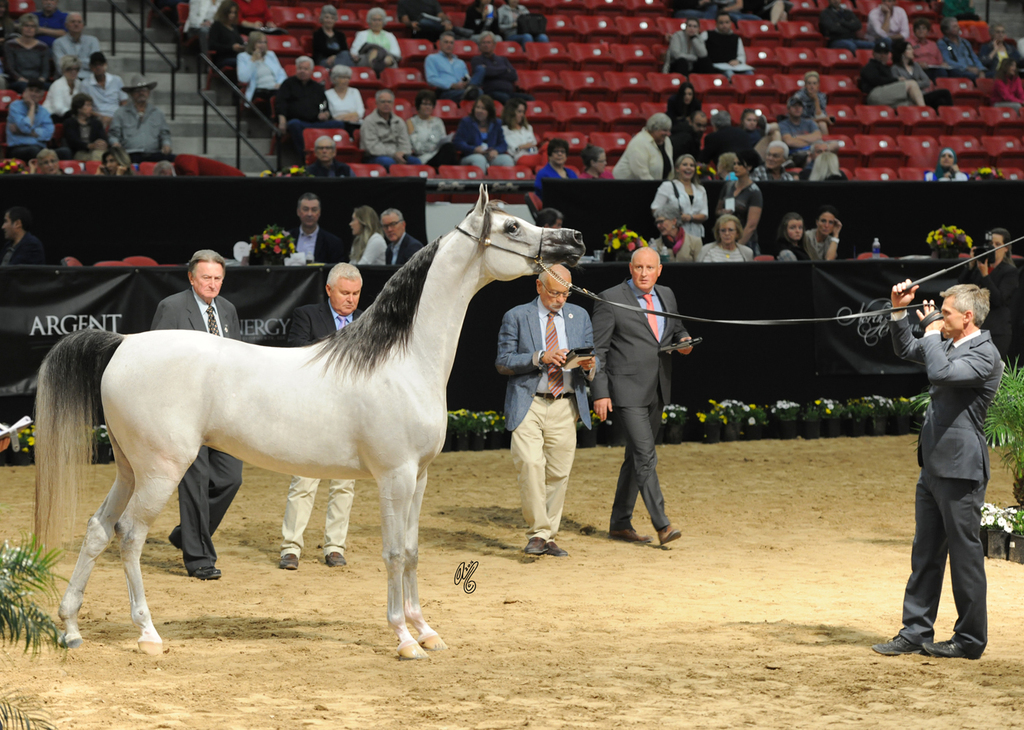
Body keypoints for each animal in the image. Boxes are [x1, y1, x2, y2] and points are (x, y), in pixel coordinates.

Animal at [34, 187, 585, 660]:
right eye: (512, 226)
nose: (575, 240)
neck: (402, 360)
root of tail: (123, 343)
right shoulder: (395, 478)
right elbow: (391, 553)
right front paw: (404, 639)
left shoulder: (420, 477)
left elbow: (411, 551)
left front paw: (427, 631)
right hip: (161, 470)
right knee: (129, 535)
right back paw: (148, 633)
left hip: (130, 469)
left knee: (98, 529)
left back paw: (71, 628)